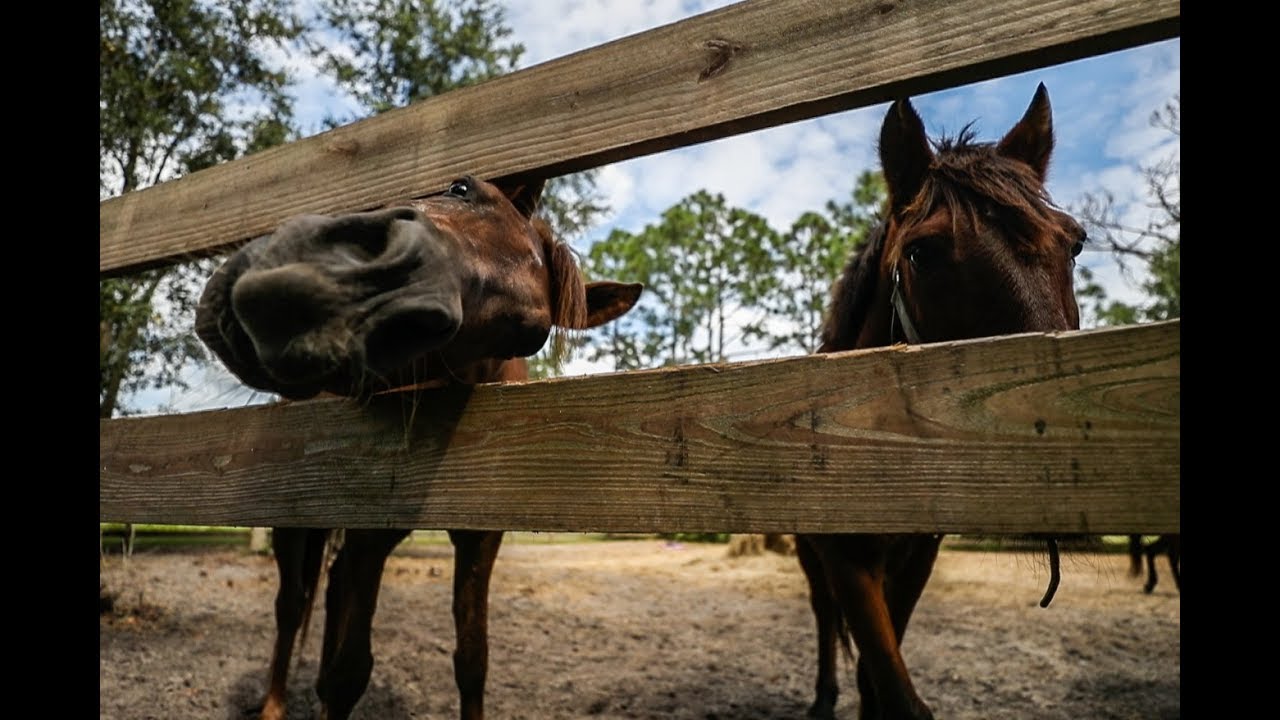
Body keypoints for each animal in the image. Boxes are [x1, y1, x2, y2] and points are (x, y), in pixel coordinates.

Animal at [194, 176, 642, 720]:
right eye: (461, 188)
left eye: (528, 336)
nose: (345, 291)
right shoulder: (369, 524)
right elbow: (350, 670)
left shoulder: (479, 535)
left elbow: (472, 660)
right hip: (295, 520)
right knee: (292, 603)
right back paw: (274, 704)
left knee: (330, 589)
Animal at [794, 83, 1087, 720]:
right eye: (921, 253)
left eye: (1076, 244)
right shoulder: (844, 558)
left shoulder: (917, 555)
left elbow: (880, 678)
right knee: (823, 615)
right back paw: (822, 696)